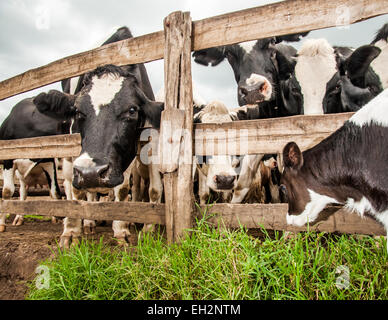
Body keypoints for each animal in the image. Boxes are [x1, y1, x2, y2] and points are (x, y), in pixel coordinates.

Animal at [0, 96, 65, 231]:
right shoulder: (8, 159)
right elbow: (7, 191)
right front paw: (2, 224)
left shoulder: (49, 162)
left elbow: (55, 192)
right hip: (23, 179)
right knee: (22, 194)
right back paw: (19, 218)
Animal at [34, 63, 164, 248]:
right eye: (77, 111)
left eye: (132, 110)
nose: (91, 173)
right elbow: (76, 189)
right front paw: (72, 231)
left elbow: (127, 189)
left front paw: (125, 230)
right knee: (72, 186)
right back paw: (86, 223)